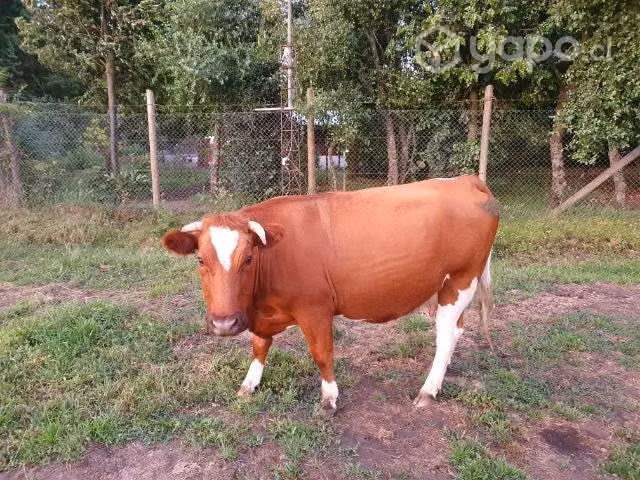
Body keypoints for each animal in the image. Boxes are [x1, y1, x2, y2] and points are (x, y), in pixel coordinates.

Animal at [162, 175, 499, 413]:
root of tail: (465, 179)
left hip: (461, 280)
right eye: (200, 260)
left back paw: (429, 390)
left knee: (446, 334)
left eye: (247, 259)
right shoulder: (259, 315)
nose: (224, 323)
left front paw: (329, 398)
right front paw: (249, 384)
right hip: (446, 287)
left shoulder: (315, 308)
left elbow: (321, 353)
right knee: (455, 330)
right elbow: (259, 346)